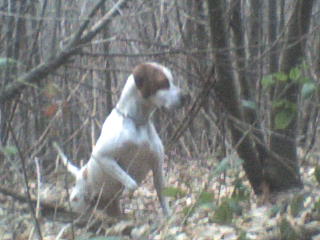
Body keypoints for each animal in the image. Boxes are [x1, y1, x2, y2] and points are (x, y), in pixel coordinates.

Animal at [54, 62, 186, 217]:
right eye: (163, 83)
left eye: (172, 81)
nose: (186, 97)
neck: (137, 122)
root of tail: (81, 174)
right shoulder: (102, 156)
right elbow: (132, 183)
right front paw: (129, 191)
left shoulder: (157, 164)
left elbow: (162, 195)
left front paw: (169, 217)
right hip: (79, 205)